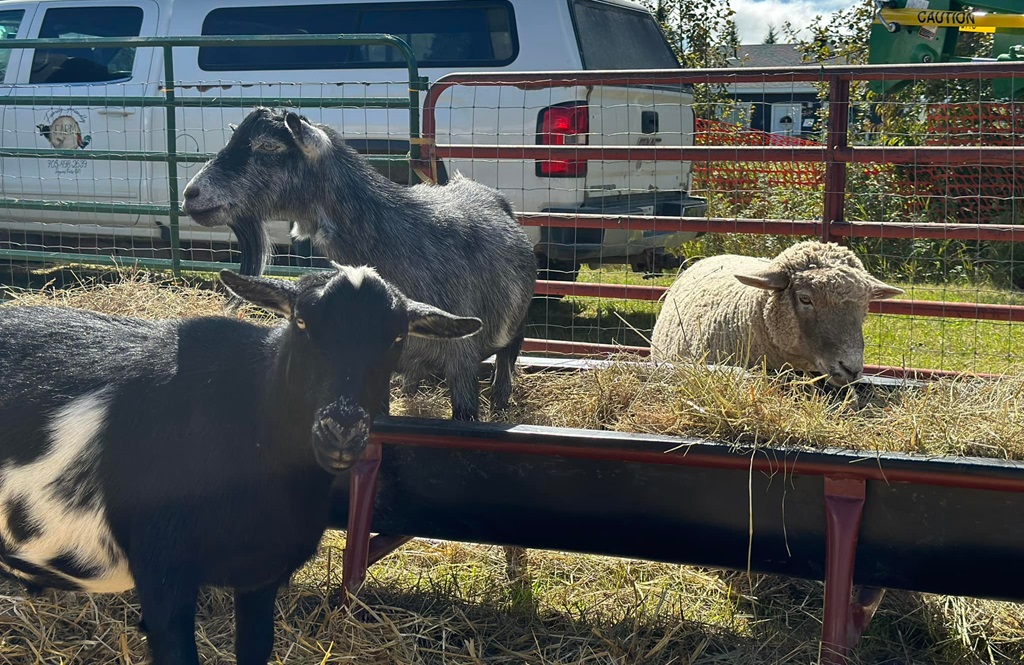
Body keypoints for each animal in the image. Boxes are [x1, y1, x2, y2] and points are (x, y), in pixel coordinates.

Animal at [181, 107, 537, 421]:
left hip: (517, 324)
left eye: (268, 146)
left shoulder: (461, 360)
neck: (399, 236)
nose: (190, 193)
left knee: (506, 362)